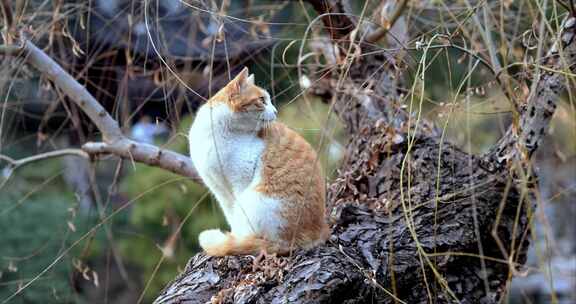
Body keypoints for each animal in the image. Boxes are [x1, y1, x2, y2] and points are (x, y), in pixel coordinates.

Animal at [188, 67, 328, 255]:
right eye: (262, 100)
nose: (276, 111)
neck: (215, 134)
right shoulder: (219, 189)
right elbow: (230, 214)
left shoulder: (240, 181)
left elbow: (236, 219)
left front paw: (234, 239)